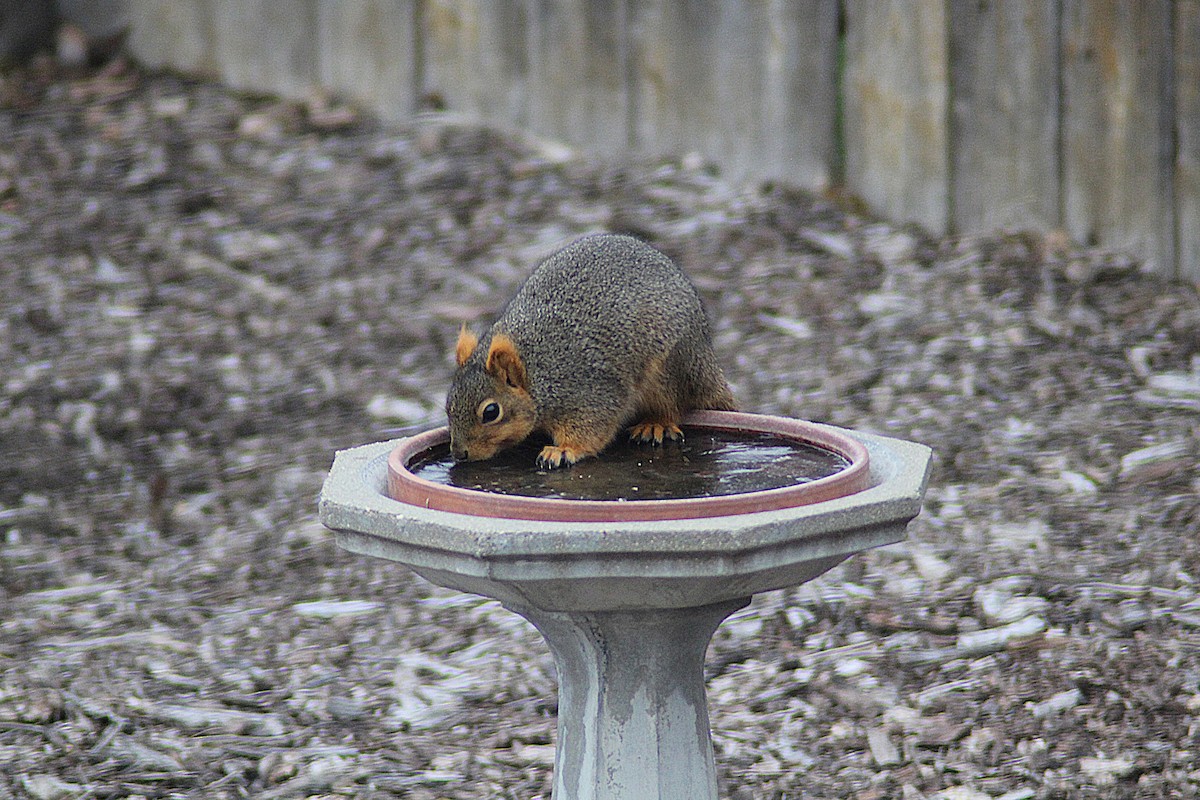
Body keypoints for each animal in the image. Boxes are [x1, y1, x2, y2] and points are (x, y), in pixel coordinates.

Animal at [445, 233, 735, 469]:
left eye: (491, 412)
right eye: (448, 405)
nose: (459, 453)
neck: (537, 371)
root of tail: (706, 358)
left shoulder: (590, 392)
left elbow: (591, 428)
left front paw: (563, 450)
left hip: (668, 371)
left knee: (673, 405)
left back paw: (656, 424)